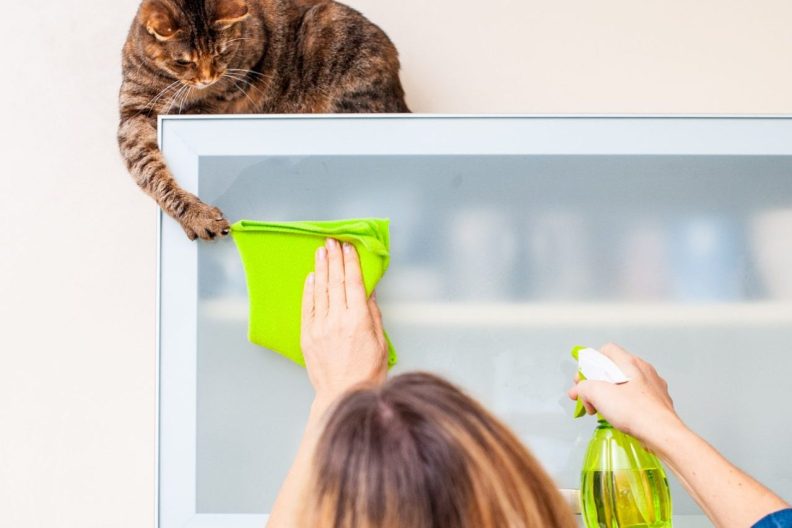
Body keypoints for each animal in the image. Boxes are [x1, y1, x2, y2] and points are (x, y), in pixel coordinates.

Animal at [120, 0, 412, 239]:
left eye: (221, 53)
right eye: (183, 62)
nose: (207, 78)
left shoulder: (244, 66)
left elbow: (214, 98)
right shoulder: (132, 118)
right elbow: (151, 172)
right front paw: (195, 215)